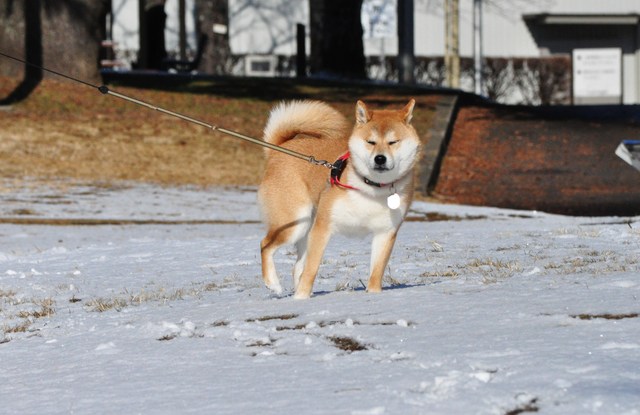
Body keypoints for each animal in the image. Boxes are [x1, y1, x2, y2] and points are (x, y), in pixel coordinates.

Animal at [258, 98, 422, 300]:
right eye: (371, 142)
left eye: (393, 142)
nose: (380, 159)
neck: (372, 188)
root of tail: (279, 149)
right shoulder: (323, 227)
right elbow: (311, 270)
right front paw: (302, 297)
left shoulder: (385, 233)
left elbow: (376, 272)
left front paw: (374, 295)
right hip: (294, 224)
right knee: (265, 245)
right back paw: (274, 283)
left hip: (305, 228)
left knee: (296, 268)